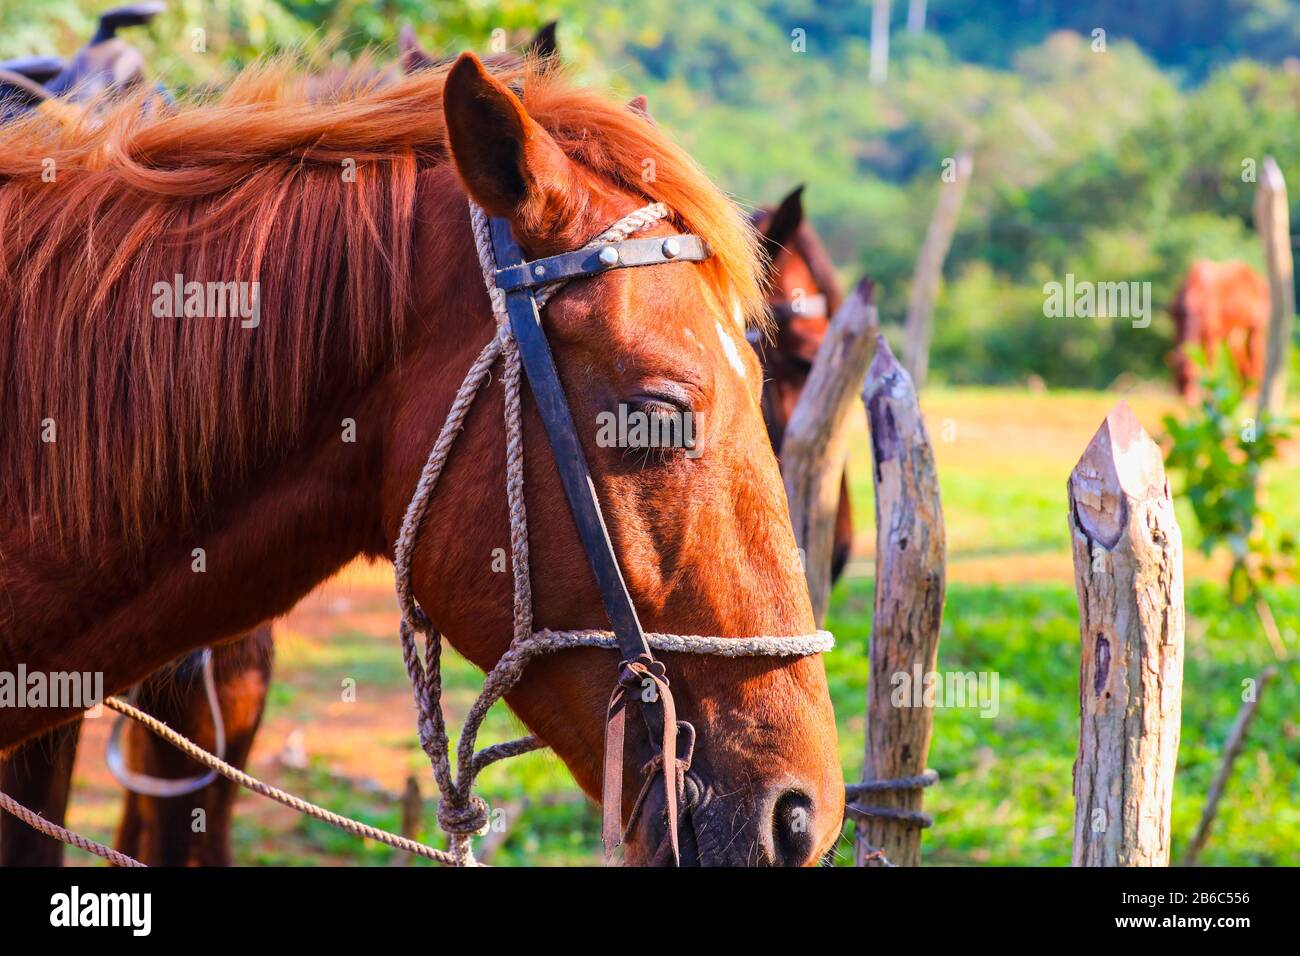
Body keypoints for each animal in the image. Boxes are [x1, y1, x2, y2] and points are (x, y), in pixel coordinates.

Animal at [1170, 257, 1268, 400]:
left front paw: (1210, 390)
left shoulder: (1212, 334)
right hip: (1236, 333)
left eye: (1194, 379)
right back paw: (1243, 391)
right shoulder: (1177, 327)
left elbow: (1209, 361)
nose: (1188, 399)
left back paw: (1253, 392)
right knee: (1238, 353)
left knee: (1256, 352)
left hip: (1257, 327)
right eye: (1179, 380)